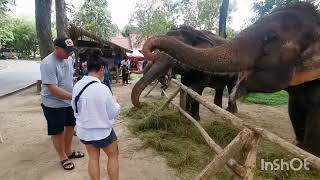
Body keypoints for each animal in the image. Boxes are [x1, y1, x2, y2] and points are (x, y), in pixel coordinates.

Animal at [142, 2, 320, 158]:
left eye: (271, 37)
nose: (153, 51)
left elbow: (196, 89)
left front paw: (195, 117)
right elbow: (186, 86)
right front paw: (183, 113)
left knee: (229, 86)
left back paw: (230, 111)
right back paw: (219, 108)